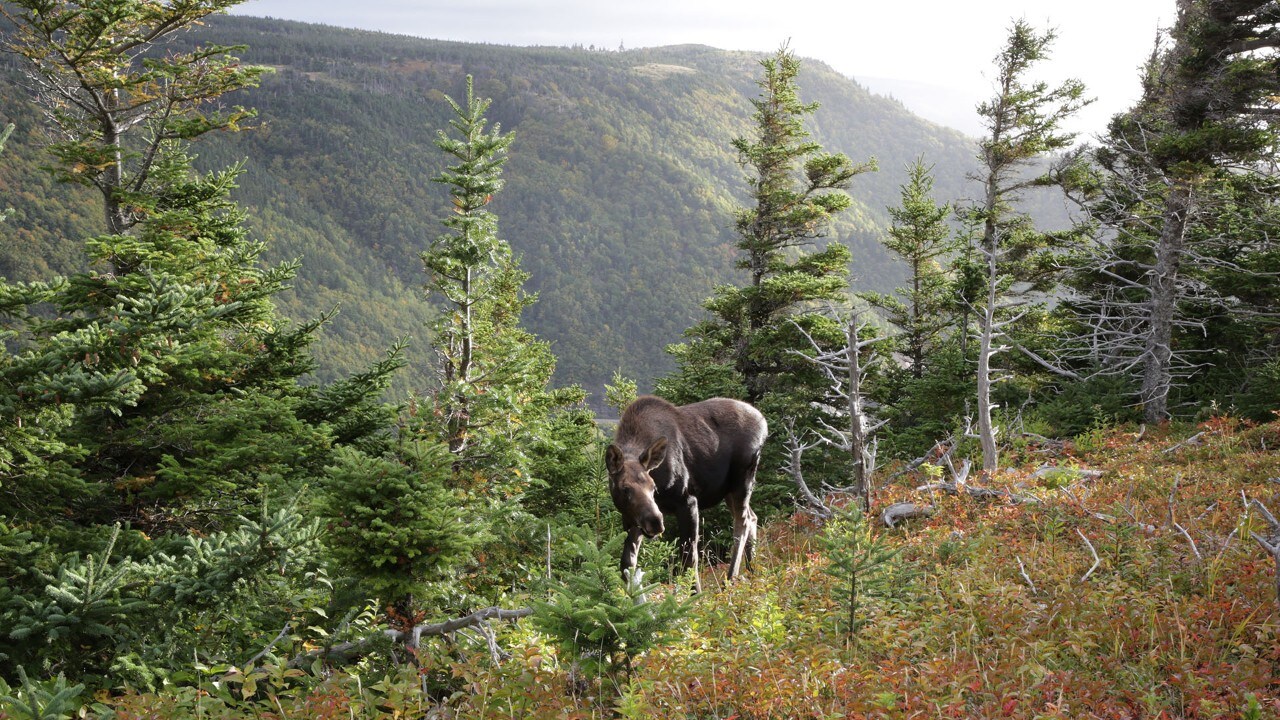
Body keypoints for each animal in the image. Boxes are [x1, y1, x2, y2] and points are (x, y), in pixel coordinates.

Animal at [604, 392, 762, 589]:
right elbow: (627, 564)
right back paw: (752, 570)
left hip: (743, 480)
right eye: (625, 488)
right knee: (753, 516)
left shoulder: (688, 501)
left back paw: (730, 578)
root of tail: (763, 423)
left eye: (653, 486)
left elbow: (689, 557)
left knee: (742, 522)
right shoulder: (631, 517)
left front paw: (694, 593)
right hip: (729, 491)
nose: (655, 521)